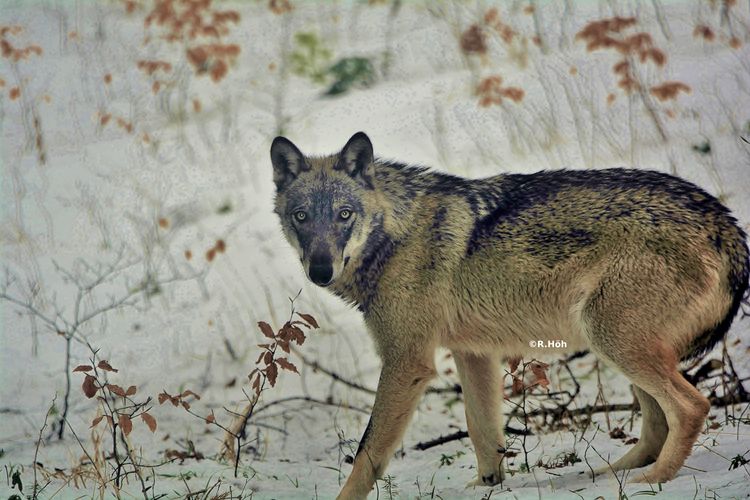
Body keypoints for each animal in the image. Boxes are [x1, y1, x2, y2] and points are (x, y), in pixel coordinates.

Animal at [272, 131, 750, 498]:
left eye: (344, 215)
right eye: (301, 217)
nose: (320, 270)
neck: (397, 234)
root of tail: (728, 226)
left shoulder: (407, 363)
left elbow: (367, 452)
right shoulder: (474, 354)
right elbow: (484, 433)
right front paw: (488, 487)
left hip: (612, 340)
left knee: (691, 407)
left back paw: (650, 482)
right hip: (616, 346)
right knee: (655, 426)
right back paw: (605, 477)